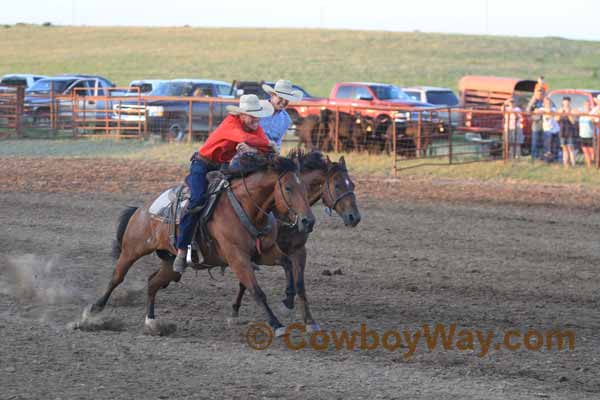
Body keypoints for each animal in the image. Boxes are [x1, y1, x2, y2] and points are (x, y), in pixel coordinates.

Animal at [89, 155, 316, 336]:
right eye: (288, 187)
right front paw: (276, 324)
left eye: (305, 188)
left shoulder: (264, 253)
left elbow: (287, 263)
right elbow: (257, 291)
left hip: (171, 264)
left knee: (152, 282)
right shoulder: (238, 258)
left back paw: (152, 322)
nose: (308, 221)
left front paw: (289, 298)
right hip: (132, 249)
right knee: (117, 276)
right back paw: (94, 311)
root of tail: (142, 209)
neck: (246, 208)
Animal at [231, 150, 360, 332]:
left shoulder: (298, 250)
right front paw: (235, 310)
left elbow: (299, 283)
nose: (355, 217)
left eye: (352, 185)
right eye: (337, 185)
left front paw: (308, 319)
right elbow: (246, 280)